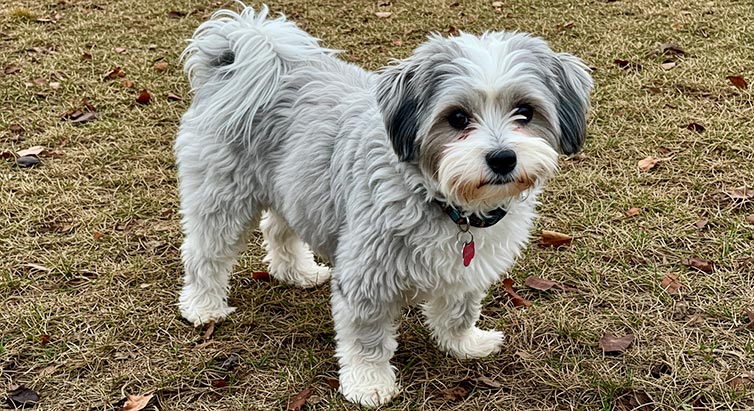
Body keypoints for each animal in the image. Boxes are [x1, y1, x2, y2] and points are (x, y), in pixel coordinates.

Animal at [173, 4, 592, 408]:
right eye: (458, 117)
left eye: (525, 111)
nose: (503, 158)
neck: (447, 203)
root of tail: (239, 57)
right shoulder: (367, 280)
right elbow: (367, 340)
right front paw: (368, 383)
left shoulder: (467, 271)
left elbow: (459, 310)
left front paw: (463, 344)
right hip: (221, 199)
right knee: (205, 253)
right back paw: (203, 306)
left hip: (296, 187)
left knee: (278, 229)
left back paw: (297, 272)